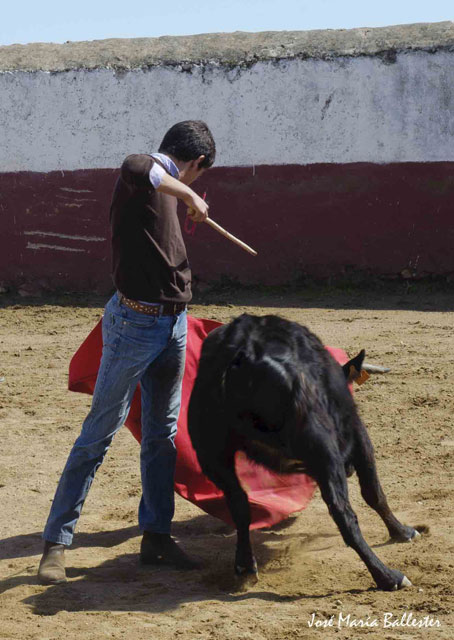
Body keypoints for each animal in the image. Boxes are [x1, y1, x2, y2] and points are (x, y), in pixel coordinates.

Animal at [187, 316, 418, 592]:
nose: (349, 468)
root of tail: (243, 356)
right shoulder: (357, 433)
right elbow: (374, 492)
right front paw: (403, 532)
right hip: (323, 450)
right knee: (343, 513)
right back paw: (388, 576)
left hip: (211, 454)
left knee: (239, 505)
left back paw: (245, 569)